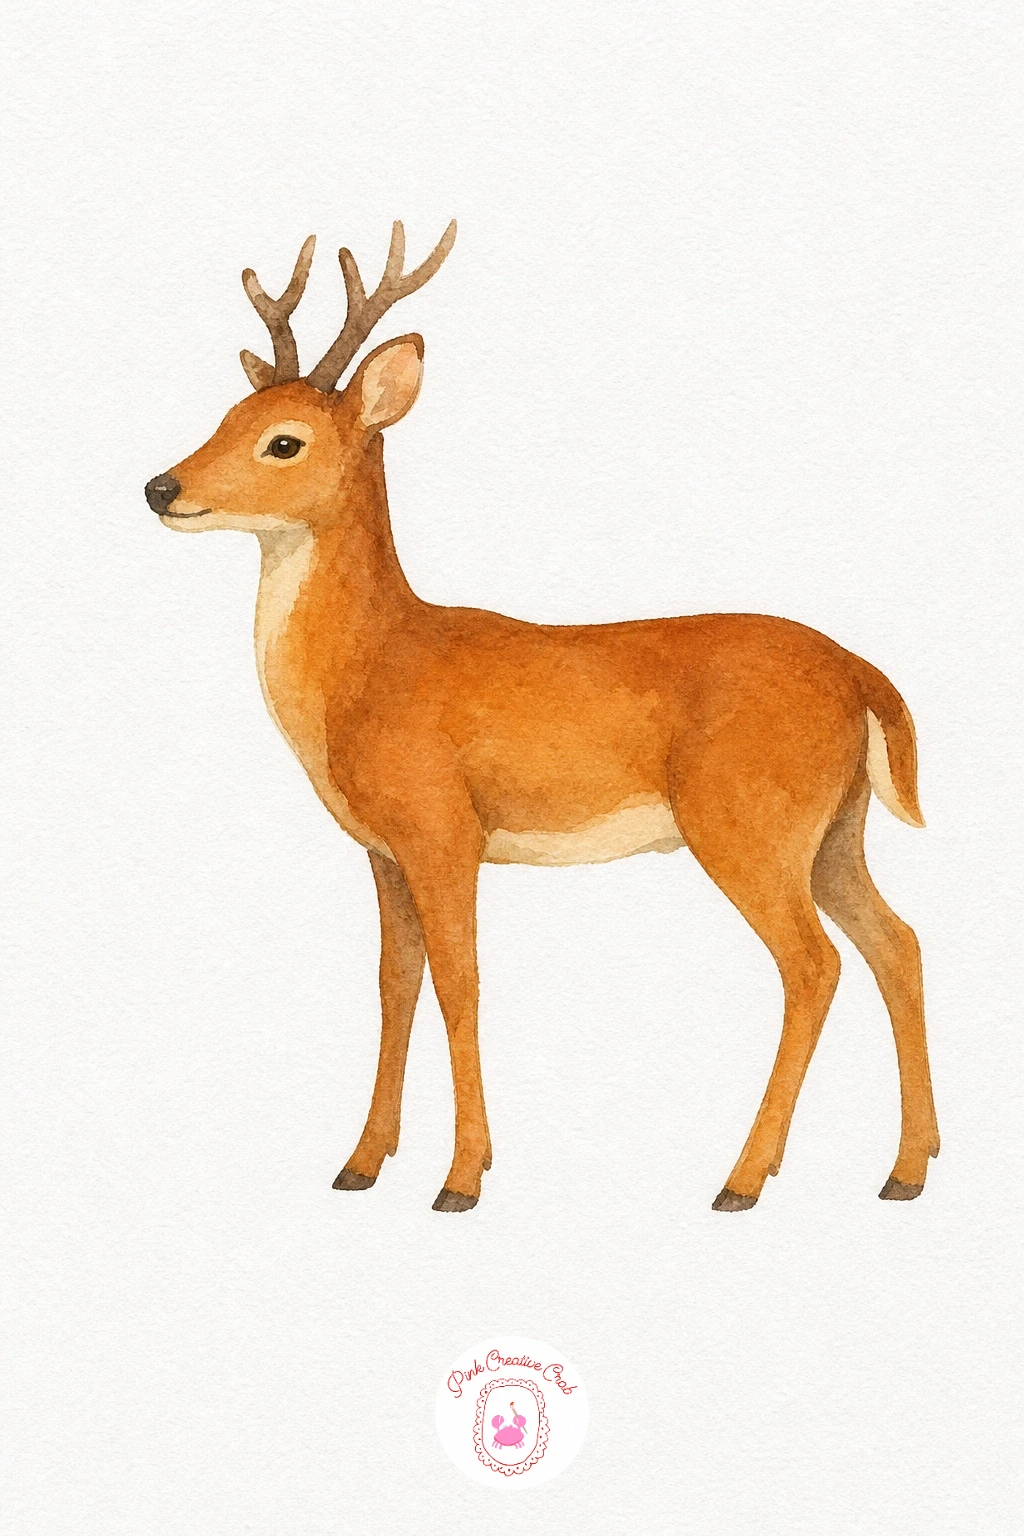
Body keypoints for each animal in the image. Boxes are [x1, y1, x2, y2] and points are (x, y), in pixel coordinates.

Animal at [145, 220, 939, 1214]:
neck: (373, 668)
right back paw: (906, 1169)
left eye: (282, 442)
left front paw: (461, 1179)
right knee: (897, 943)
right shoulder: (383, 848)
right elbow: (394, 982)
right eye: (225, 415)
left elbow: (461, 982)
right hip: (835, 829)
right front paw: (361, 1162)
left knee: (814, 965)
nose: (161, 487)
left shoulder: (443, 827)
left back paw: (742, 1179)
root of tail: (864, 676)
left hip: (746, 822)